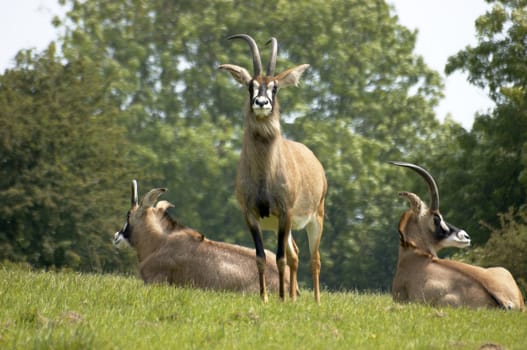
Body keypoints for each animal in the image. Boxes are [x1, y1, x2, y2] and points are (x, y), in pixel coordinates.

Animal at [218, 36, 326, 304]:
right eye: (251, 86)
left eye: (274, 87)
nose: (261, 103)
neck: (264, 174)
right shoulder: (251, 215)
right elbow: (260, 257)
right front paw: (266, 298)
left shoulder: (285, 212)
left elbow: (279, 258)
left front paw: (281, 299)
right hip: (284, 226)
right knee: (296, 254)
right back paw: (295, 298)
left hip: (315, 218)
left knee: (314, 259)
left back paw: (316, 301)